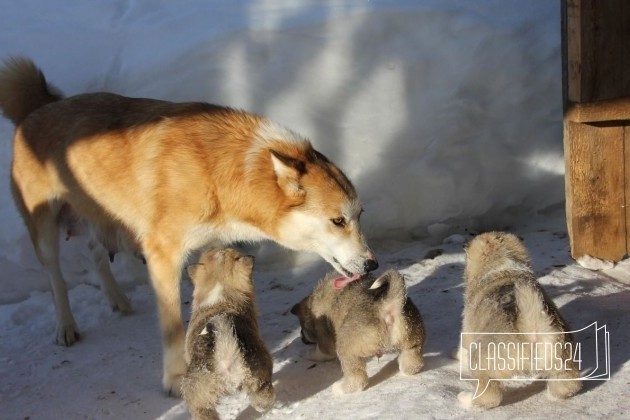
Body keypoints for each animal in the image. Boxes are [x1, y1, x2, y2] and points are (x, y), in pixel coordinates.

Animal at [0, 56, 378, 394]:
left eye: (359, 215)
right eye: (338, 220)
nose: (372, 264)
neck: (219, 171)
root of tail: (39, 107)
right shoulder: (162, 255)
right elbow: (172, 325)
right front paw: (175, 379)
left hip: (106, 222)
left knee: (95, 251)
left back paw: (118, 300)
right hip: (45, 232)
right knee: (56, 279)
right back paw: (66, 327)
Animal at [294, 270, 428, 394]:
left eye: (302, 327)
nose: (301, 338)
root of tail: (388, 306)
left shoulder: (325, 341)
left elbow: (321, 352)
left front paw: (309, 354)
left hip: (346, 348)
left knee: (358, 379)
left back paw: (340, 389)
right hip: (413, 340)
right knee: (413, 363)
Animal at [460, 231, 584, 408]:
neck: (502, 267)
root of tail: (530, 331)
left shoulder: (467, 332)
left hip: (481, 362)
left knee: (489, 395)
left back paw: (466, 399)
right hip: (563, 359)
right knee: (567, 385)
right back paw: (553, 395)